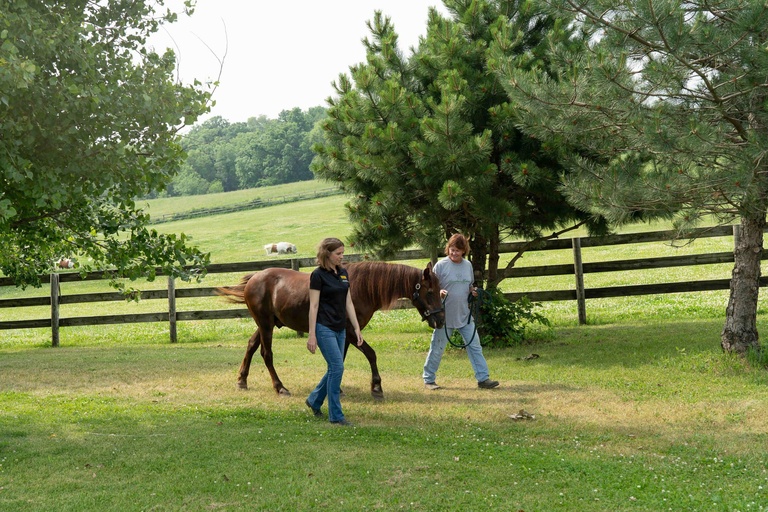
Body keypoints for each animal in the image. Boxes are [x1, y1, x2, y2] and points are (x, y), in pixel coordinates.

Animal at [216, 261, 445, 400]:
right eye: (430, 292)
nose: (441, 320)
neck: (359, 288)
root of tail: (255, 278)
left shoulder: (345, 335)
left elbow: (340, 359)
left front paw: (336, 387)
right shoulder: (352, 333)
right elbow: (371, 354)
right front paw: (376, 387)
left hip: (266, 324)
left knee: (251, 346)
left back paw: (242, 381)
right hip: (265, 325)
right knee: (266, 354)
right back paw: (280, 387)